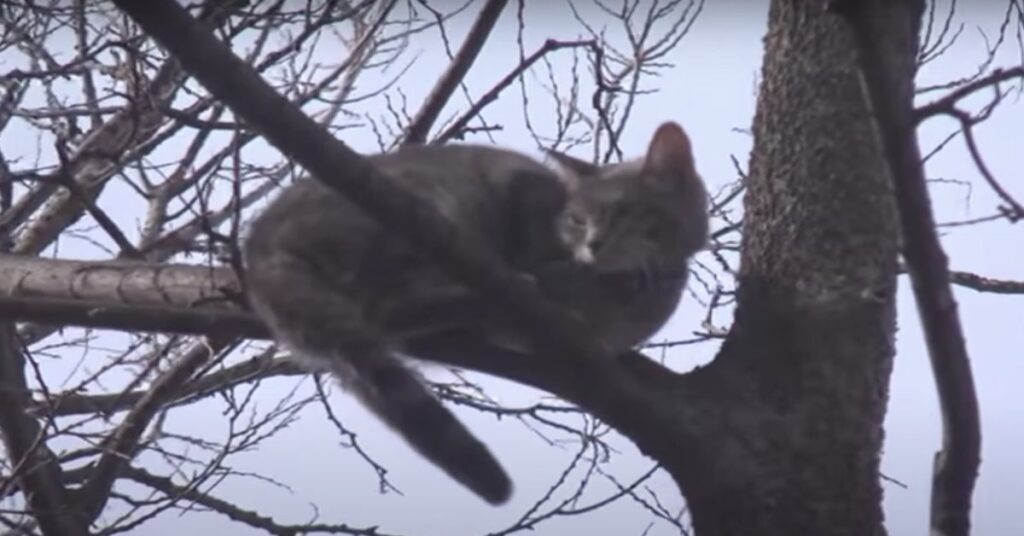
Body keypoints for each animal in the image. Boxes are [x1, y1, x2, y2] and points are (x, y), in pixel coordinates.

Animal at [240, 121, 708, 508]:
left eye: (624, 212)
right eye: (576, 219)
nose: (591, 245)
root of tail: (258, 243)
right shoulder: (521, 189)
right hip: (428, 210)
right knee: (397, 300)